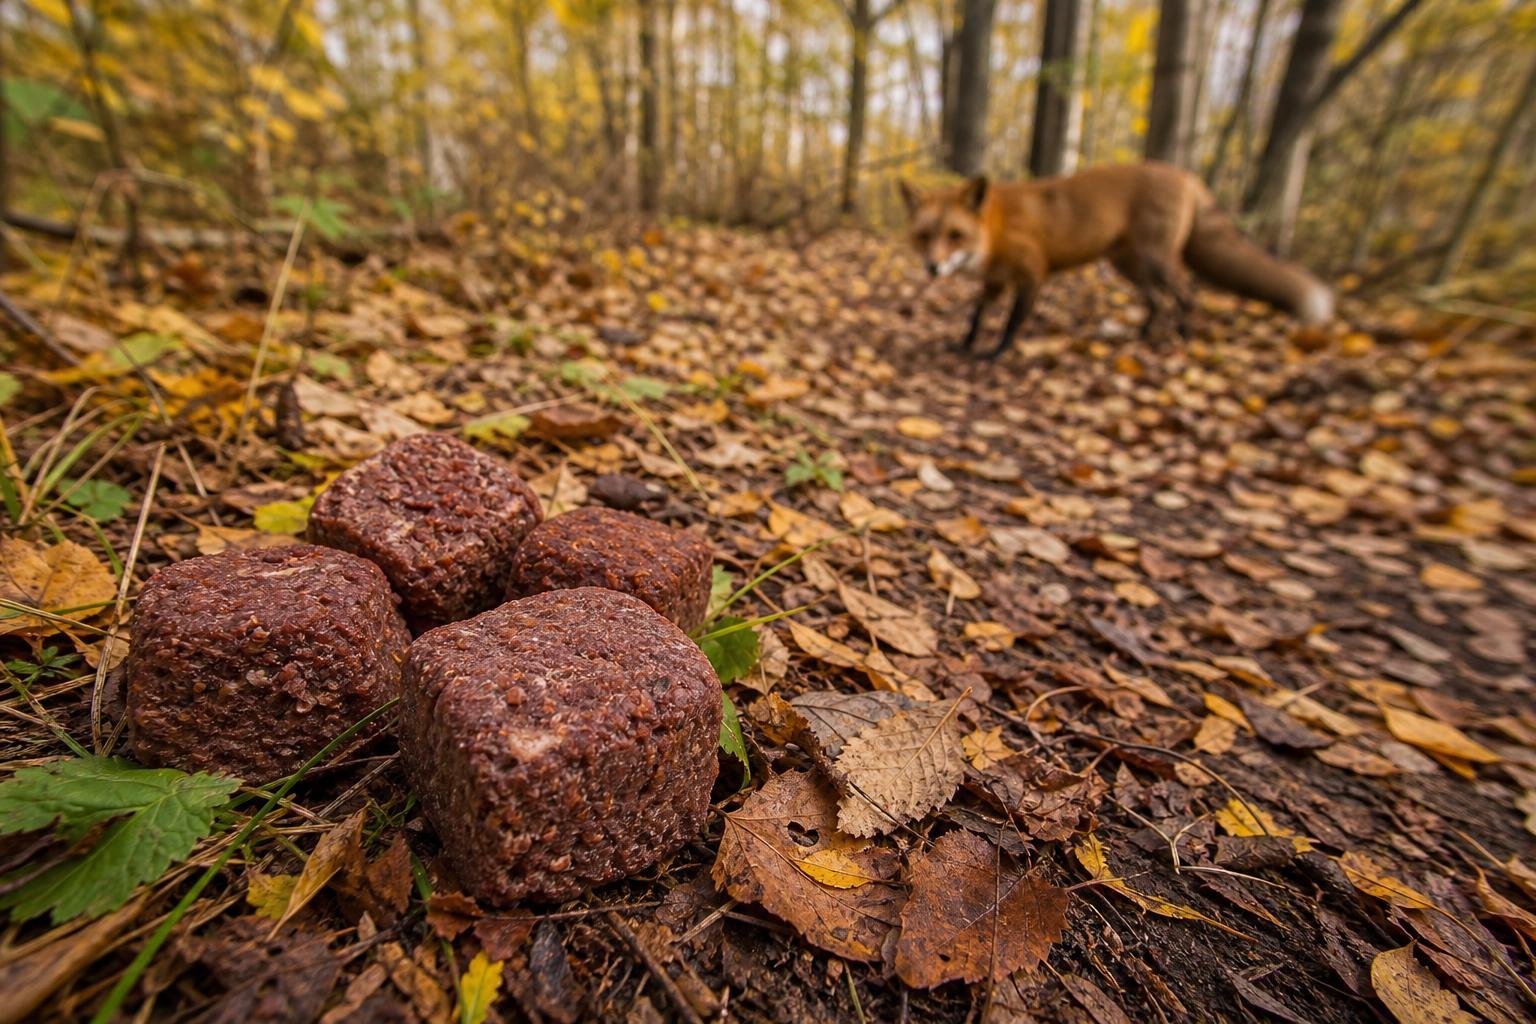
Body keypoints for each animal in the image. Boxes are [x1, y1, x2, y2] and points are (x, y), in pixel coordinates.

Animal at [898, 161, 1334, 360]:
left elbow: (1011, 322)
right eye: (923, 236)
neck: (995, 228)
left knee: (1186, 293)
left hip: (1157, 258)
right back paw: (1141, 335)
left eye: (955, 235)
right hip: (1129, 266)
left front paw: (995, 353)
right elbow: (976, 315)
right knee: (1156, 300)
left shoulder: (1032, 273)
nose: (933, 267)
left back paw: (1182, 337)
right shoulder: (996, 280)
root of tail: (1183, 173)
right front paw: (964, 344)